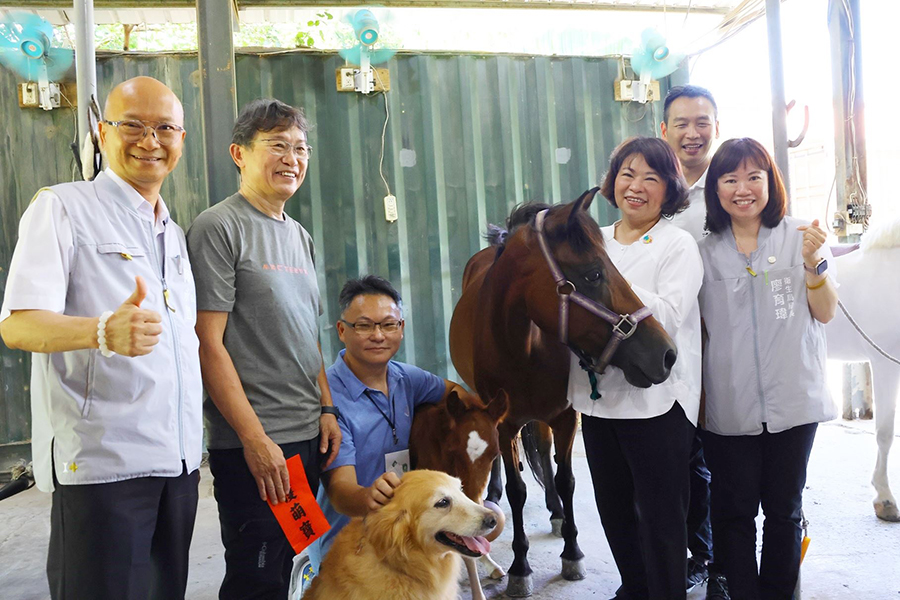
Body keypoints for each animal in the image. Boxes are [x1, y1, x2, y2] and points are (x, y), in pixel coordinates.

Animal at [450, 190, 676, 596]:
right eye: (594, 273)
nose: (666, 354)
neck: (521, 348)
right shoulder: (505, 425)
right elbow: (518, 490)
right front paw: (520, 568)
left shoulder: (565, 416)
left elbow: (565, 478)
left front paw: (572, 552)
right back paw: (493, 493)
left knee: (543, 451)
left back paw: (555, 511)